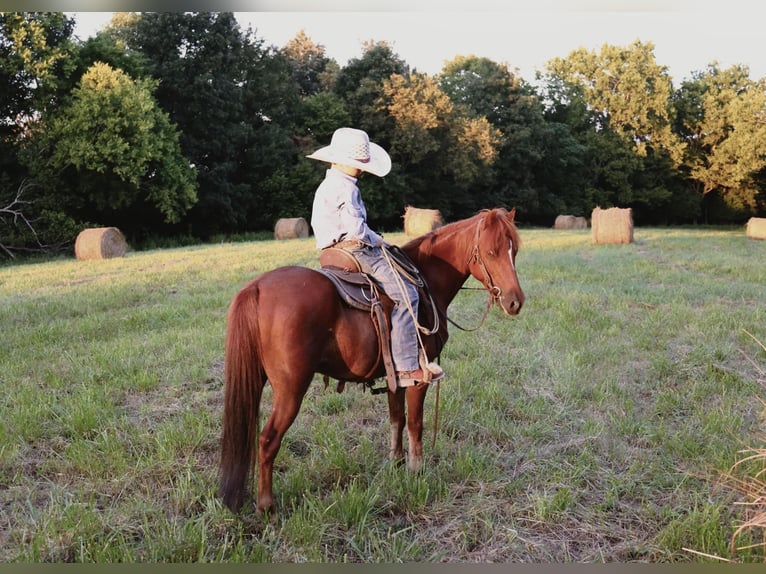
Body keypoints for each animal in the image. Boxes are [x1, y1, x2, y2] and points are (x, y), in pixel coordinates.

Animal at [219, 209, 524, 516]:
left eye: (515, 251)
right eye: (491, 251)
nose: (515, 302)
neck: (426, 282)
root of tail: (256, 287)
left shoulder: (397, 377)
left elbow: (397, 418)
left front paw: (397, 462)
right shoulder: (419, 379)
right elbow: (415, 423)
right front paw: (416, 471)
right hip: (291, 389)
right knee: (268, 439)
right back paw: (266, 505)